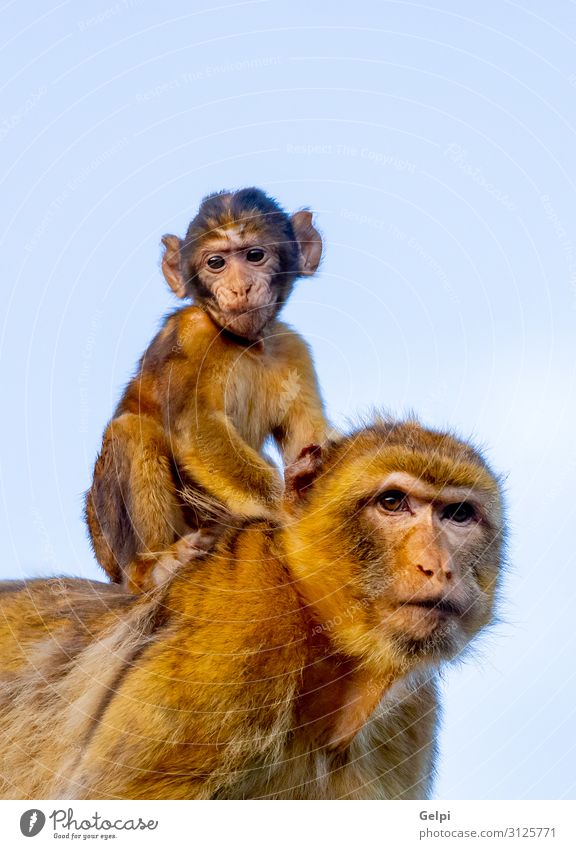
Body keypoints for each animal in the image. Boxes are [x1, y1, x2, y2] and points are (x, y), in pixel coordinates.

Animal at [85, 189, 328, 592]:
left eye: (255, 255)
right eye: (216, 262)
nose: (240, 287)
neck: (246, 344)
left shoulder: (293, 349)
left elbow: (306, 437)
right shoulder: (192, 332)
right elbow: (197, 427)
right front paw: (286, 503)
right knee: (131, 431)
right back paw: (151, 570)